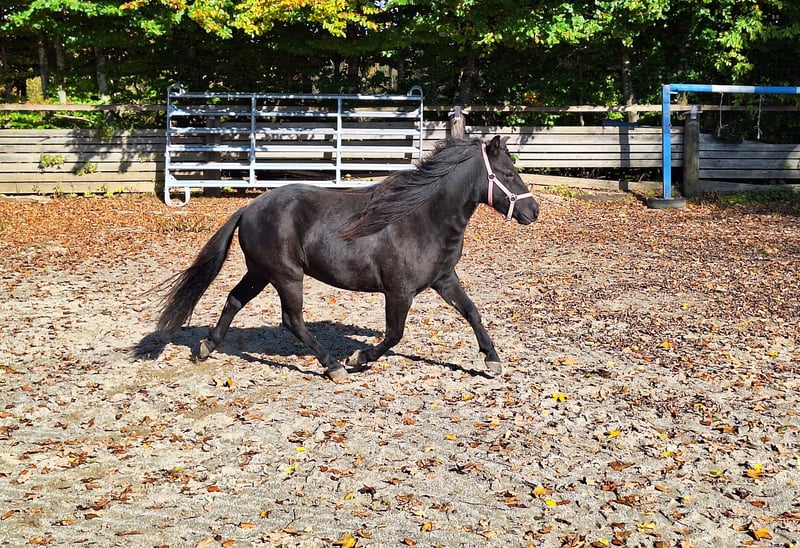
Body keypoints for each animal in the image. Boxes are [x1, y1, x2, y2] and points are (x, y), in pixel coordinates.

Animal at [155, 136, 539, 382]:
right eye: (508, 174)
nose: (533, 211)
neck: (423, 218)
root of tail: (248, 208)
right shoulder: (399, 292)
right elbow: (394, 334)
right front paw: (358, 358)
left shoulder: (444, 279)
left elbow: (472, 312)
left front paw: (492, 361)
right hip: (286, 276)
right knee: (292, 320)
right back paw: (333, 366)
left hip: (260, 272)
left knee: (234, 300)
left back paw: (207, 346)